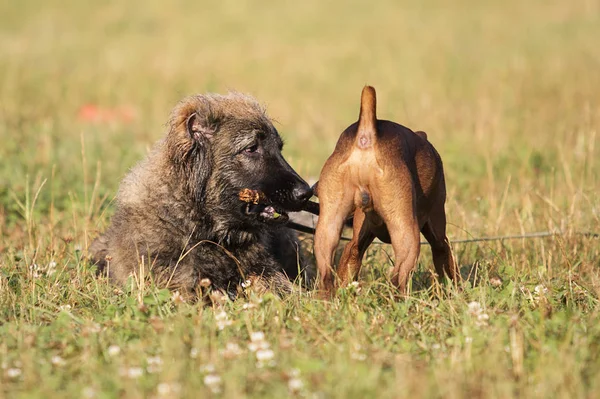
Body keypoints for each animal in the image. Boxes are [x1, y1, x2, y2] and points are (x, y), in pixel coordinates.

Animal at [314, 86, 460, 296]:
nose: (313, 188)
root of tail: (367, 136)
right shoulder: (439, 237)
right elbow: (447, 263)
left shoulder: (355, 244)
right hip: (408, 236)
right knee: (398, 279)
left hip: (327, 230)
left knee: (326, 276)